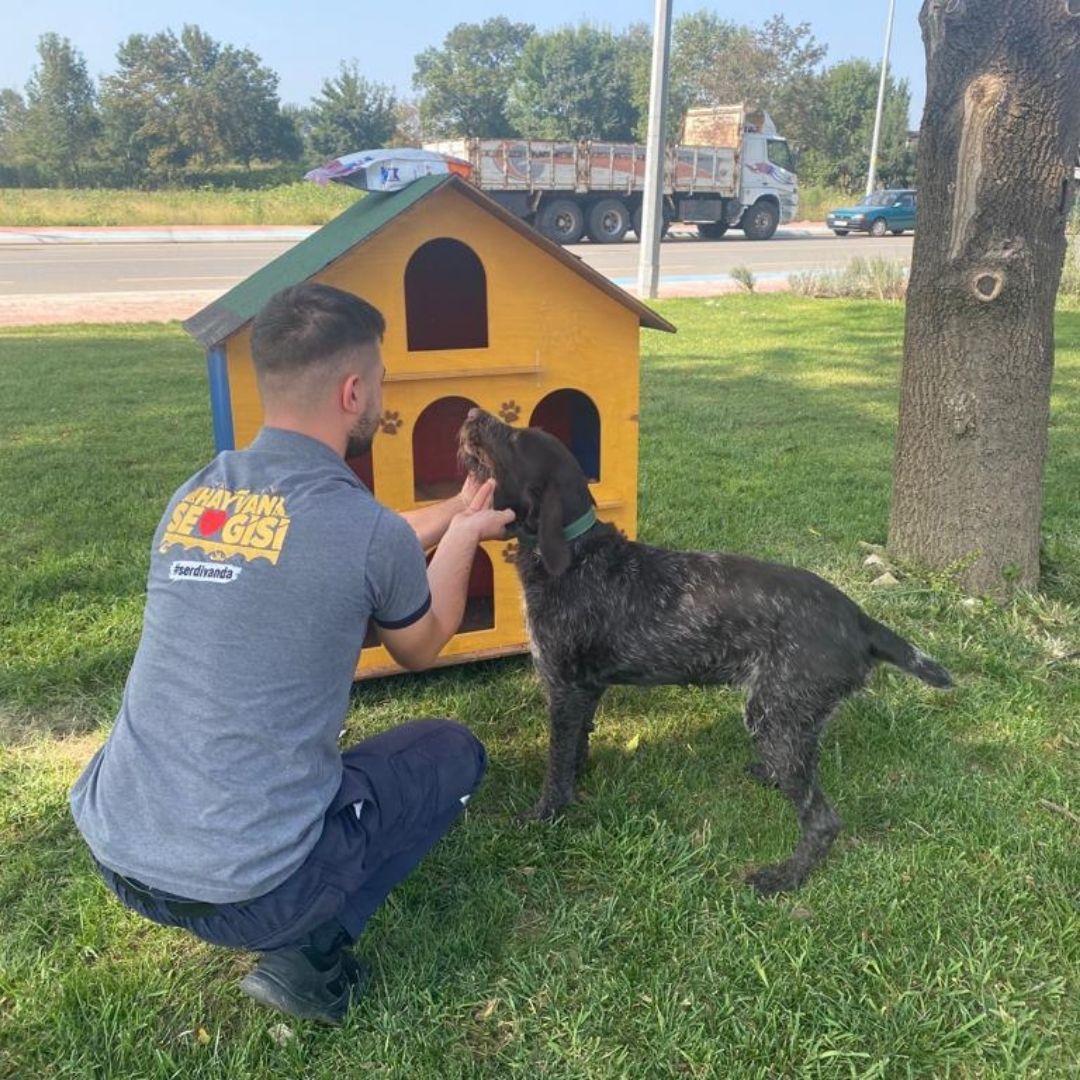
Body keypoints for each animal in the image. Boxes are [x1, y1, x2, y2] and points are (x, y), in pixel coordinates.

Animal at [457, 406, 954, 894]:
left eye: (515, 439)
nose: (471, 412)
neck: (576, 554)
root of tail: (857, 617)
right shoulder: (584, 690)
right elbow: (576, 747)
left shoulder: (562, 688)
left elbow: (556, 764)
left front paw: (546, 814)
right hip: (791, 718)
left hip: (773, 715)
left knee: (823, 819)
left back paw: (785, 877)